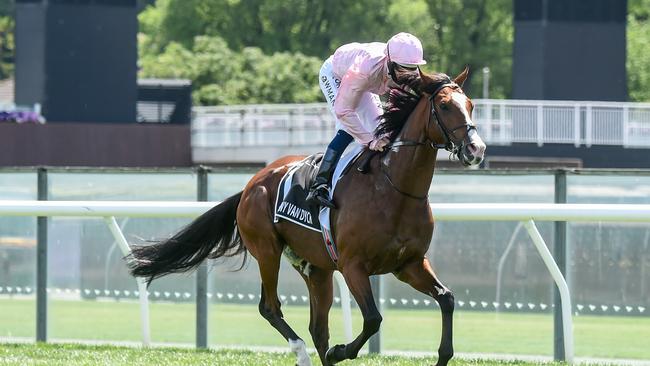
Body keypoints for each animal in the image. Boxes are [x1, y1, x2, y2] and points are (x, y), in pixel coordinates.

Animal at [129, 67, 486, 364]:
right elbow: (373, 319)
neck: (393, 188)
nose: (476, 149)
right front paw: (342, 351)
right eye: (444, 106)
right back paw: (301, 352)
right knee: (271, 307)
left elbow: (447, 299)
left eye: (470, 104)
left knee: (318, 326)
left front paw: (443, 353)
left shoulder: (408, 264)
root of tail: (251, 184)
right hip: (268, 250)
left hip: (316, 268)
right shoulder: (354, 266)